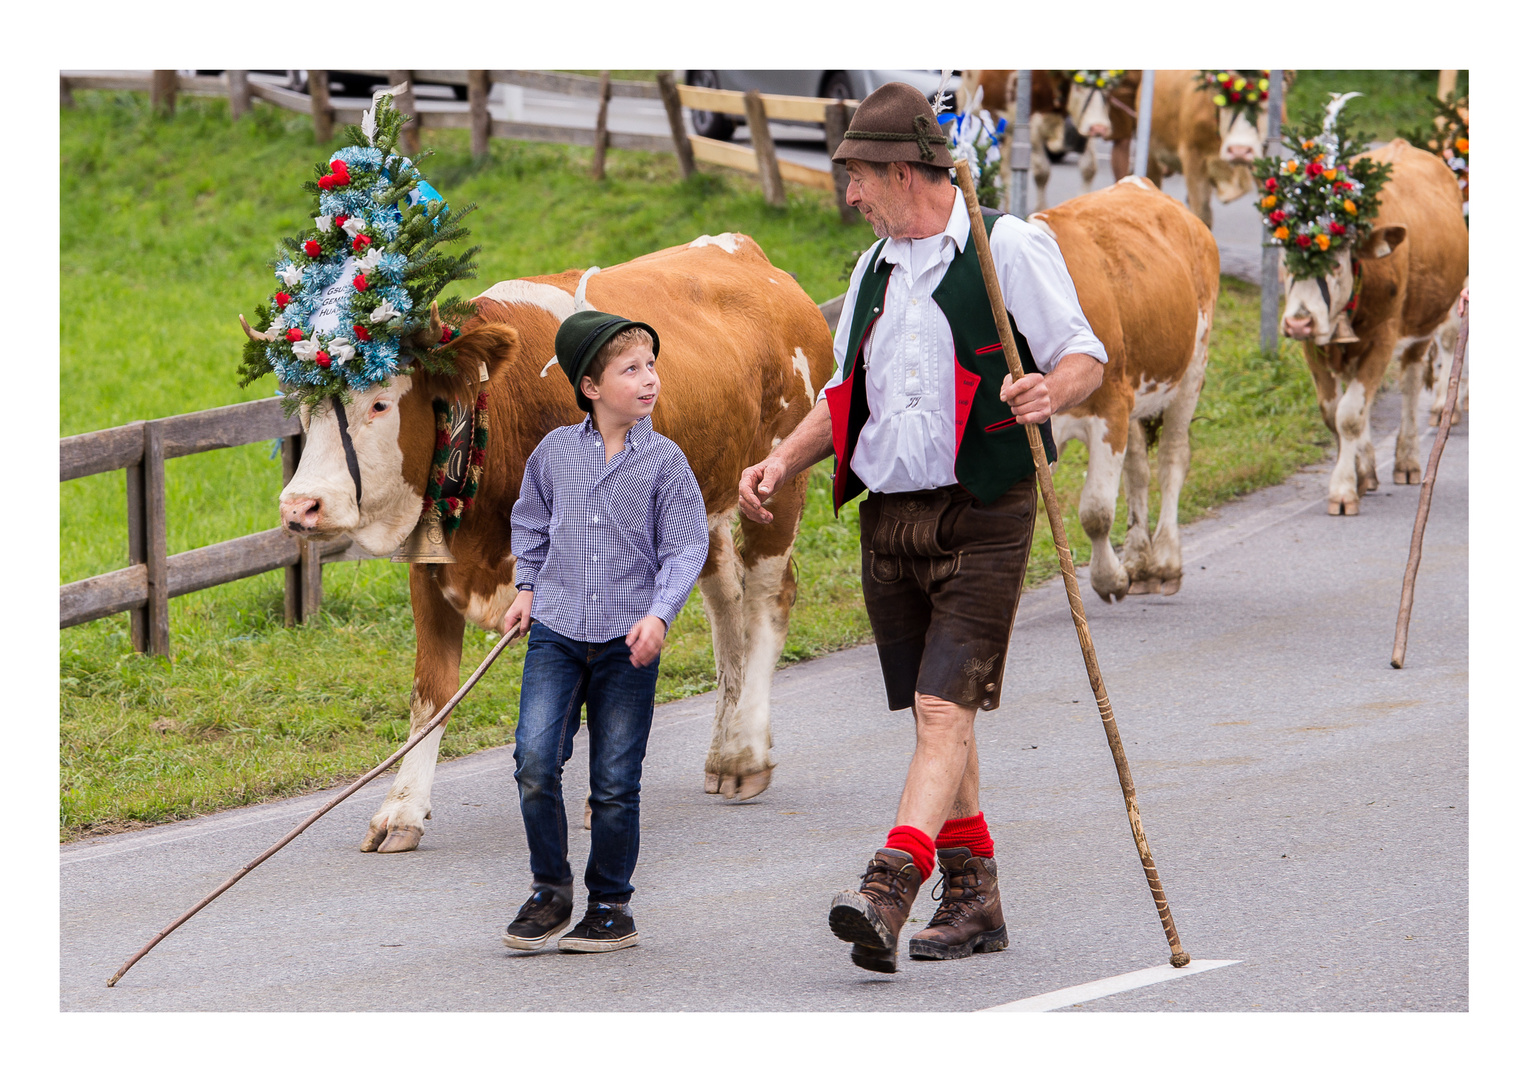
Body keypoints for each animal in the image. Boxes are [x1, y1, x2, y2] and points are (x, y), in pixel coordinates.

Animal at [241, 92, 837, 855]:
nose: (302, 507)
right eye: (303, 404)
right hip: (700, 499)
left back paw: (745, 755)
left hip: (778, 478)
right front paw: (401, 810)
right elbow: (431, 692)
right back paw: (723, 750)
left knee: (766, 598)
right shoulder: (431, 564)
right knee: (725, 598)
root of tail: (746, 252)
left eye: (378, 401)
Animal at [1026, 175, 1216, 598]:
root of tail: (1141, 183)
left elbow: (1096, 511)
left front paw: (1108, 579)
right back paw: (1141, 560)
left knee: (1172, 458)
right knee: (1138, 471)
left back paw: (1165, 562)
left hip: (1191, 370)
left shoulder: (1109, 407)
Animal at [1252, 96, 1466, 516]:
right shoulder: (1315, 346)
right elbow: (1332, 411)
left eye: (1336, 261)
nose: (1298, 322)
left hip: (1423, 324)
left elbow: (1351, 415)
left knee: (1412, 382)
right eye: (1286, 259)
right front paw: (1360, 474)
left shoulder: (1383, 338)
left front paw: (1343, 490)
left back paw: (1407, 459)